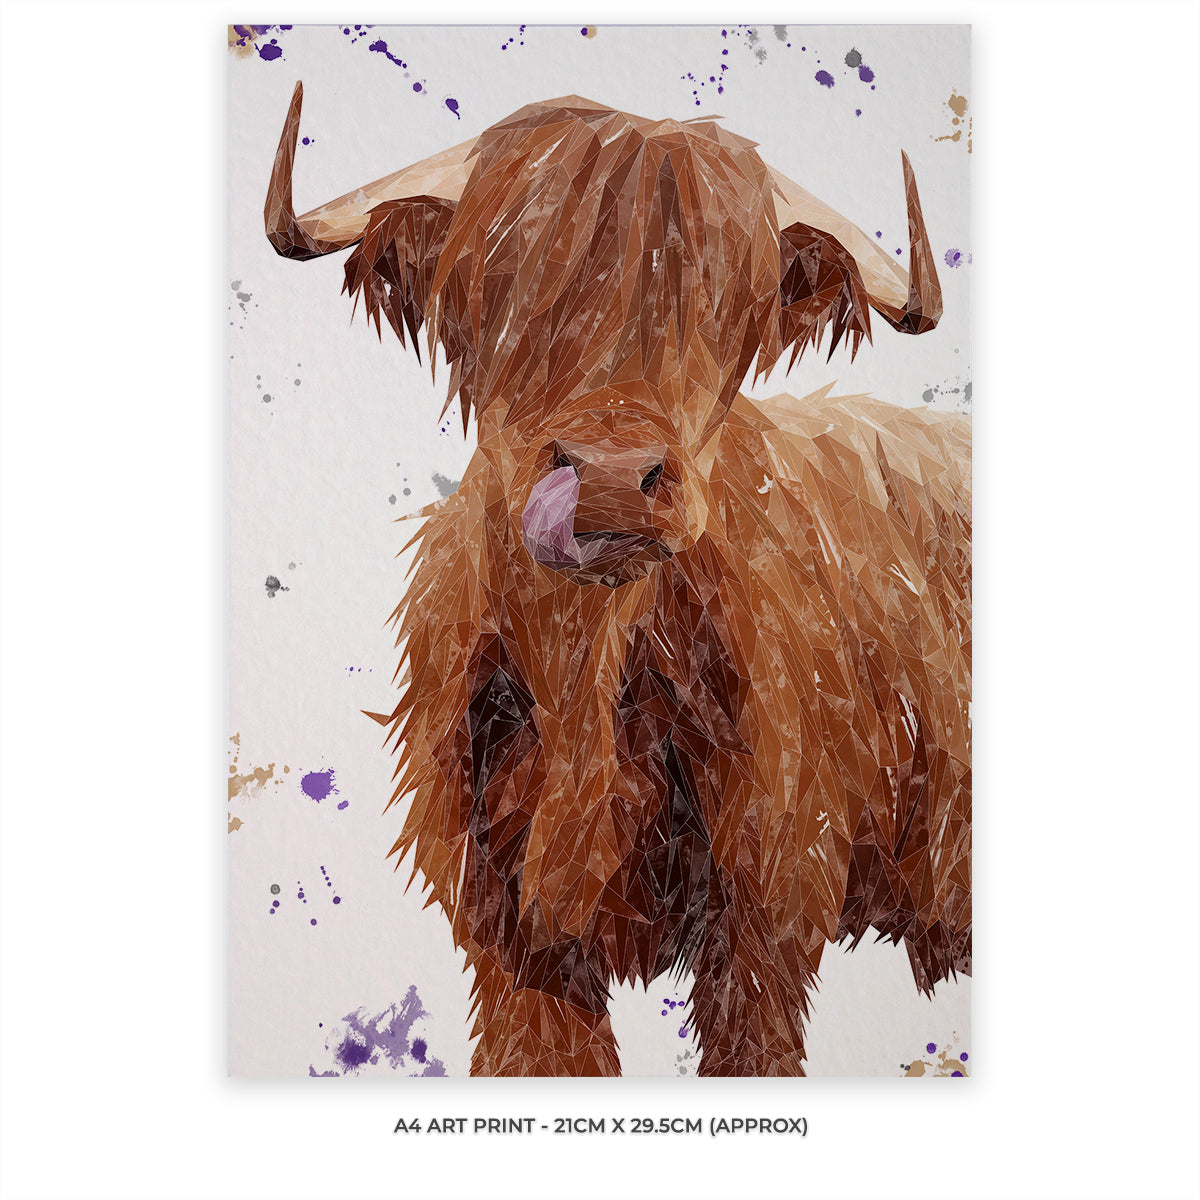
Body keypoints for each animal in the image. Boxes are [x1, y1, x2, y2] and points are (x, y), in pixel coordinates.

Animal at [265, 84, 971, 1076]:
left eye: (730, 300)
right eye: (501, 279)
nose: (606, 476)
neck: (581, 689)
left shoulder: (770, 917)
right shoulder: (509, 945)